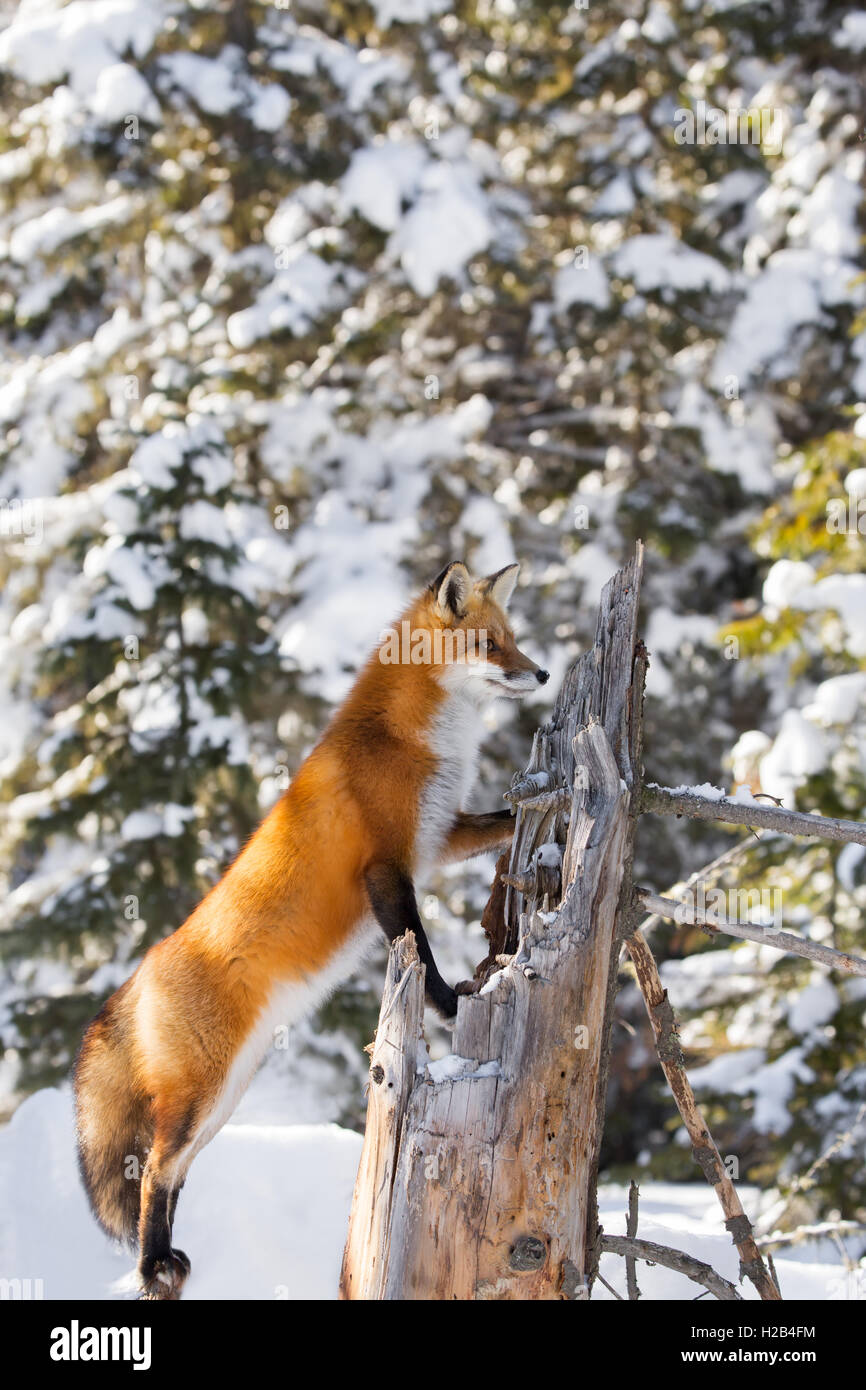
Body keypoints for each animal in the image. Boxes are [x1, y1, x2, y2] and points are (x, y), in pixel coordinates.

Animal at [74, 560, 549, 1299]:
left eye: (514, 640)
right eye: (491, 645)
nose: (544, 674)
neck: (411, 736)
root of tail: (141, 969)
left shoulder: (438, 839)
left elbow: (505, 817)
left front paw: (550, 791)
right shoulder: (385, 865)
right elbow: (417, 946)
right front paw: (449, 1003)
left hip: (222, 1099)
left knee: (171, 1174)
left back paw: (167, 1261)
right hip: (202, 1097)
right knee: (152, 1172)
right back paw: (152, 1268)